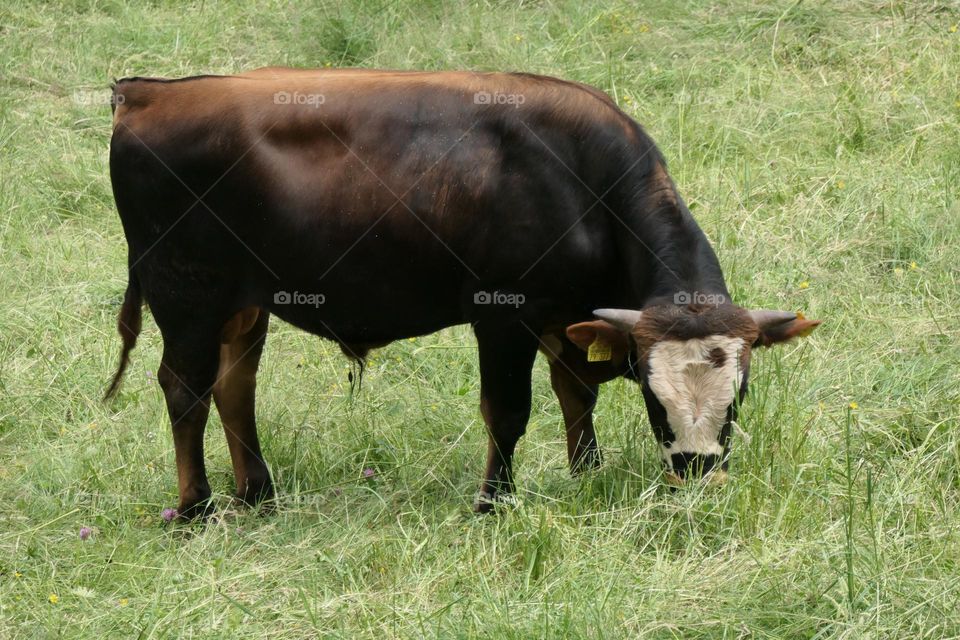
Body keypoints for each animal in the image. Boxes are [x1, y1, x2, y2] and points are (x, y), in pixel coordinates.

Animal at [105, 68, 821, 518]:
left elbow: (576, 394)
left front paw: (586, 473)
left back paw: (258, 494)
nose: (697, 470)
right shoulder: (505, 316)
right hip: (187, 298)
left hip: (244, 305)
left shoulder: (570, 318)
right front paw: (493, 502)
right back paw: (196, 508)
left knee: (235, 386)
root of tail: (143, 95)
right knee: (185, 390)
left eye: (741, 392)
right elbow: (508, 411)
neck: (585, 185)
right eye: (652, 392)